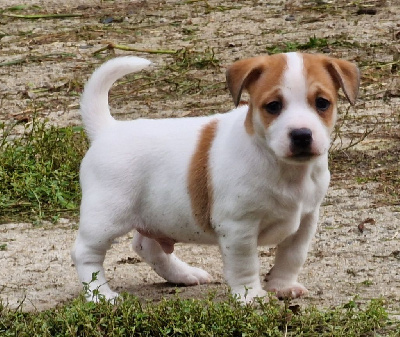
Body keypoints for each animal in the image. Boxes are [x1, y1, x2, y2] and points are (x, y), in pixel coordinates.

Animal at [71, 52, 360, 302]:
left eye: (322, 103)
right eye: (273, 106)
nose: (301, 134)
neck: (283, 167)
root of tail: (108, 129)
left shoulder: (306, 221)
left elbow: (291, 257)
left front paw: (282, 286)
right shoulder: (239, 228)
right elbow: (245, 266)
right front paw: (251, 297)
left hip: (157, 216)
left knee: (146, 247)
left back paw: (183, 274)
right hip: (106, 218)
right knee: (86, 254)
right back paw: (101, 296)